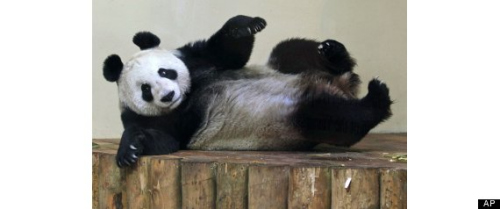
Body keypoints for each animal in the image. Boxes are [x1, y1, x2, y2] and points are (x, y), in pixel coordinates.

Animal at [100, 15, 390, 168]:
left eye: (165, 72)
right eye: (146, 90)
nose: (168, 96)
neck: (189, 94)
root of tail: (341, 86)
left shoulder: (194, 58)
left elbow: (228, 54)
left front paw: (245, 26)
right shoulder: (155, 118)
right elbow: (164, 139)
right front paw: (131, 149)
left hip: (284, 66)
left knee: (293, 50)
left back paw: (333, 54)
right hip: (288, 121)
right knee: (330, 118)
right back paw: (375, 101)